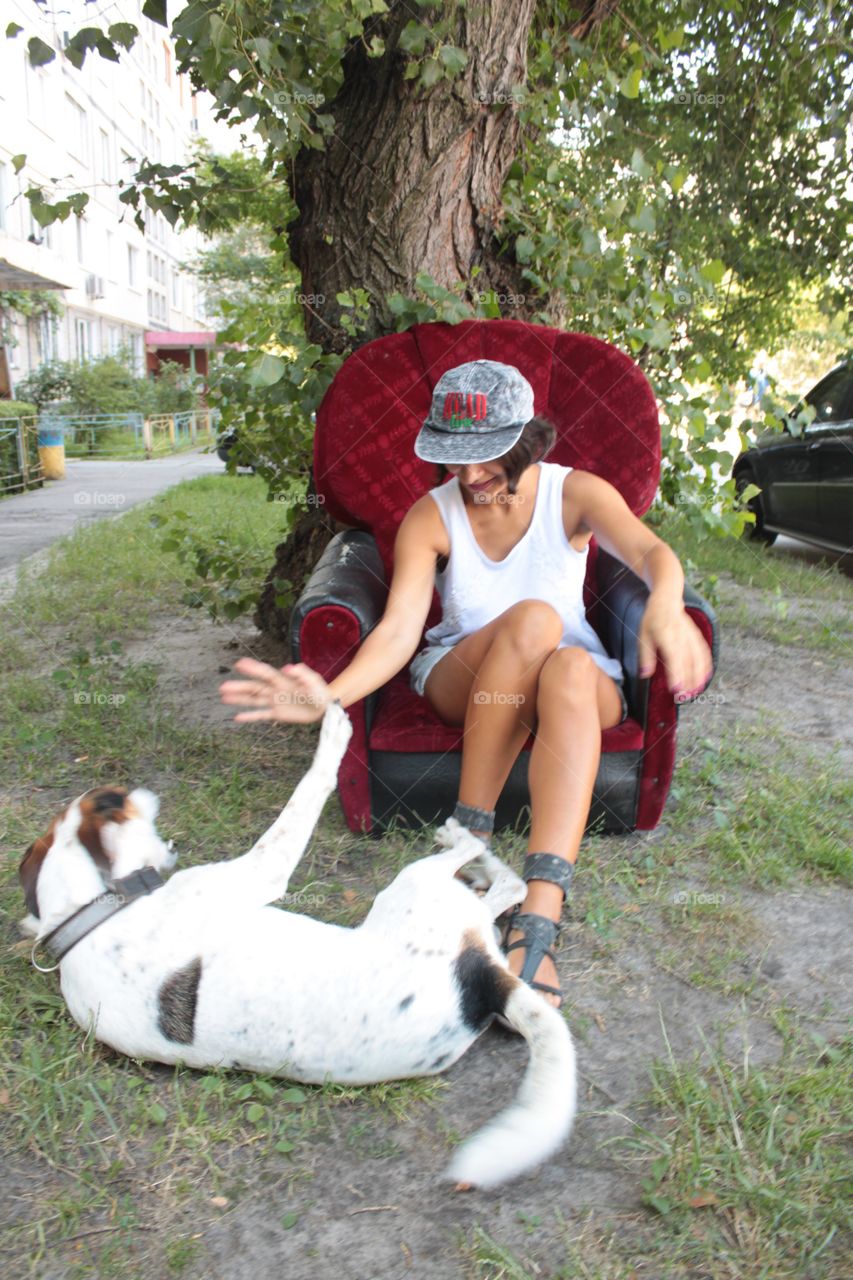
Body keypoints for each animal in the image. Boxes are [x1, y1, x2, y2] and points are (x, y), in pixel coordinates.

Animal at [19, 701, 573, 1187]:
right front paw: (333, 733)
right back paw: (465, 840)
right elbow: (306, 794)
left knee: (504, 890)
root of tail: (483, 981)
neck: (85, 918)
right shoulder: (262, 869)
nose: (139, 788)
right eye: (115, 798)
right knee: (500, 873)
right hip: (416, 886)